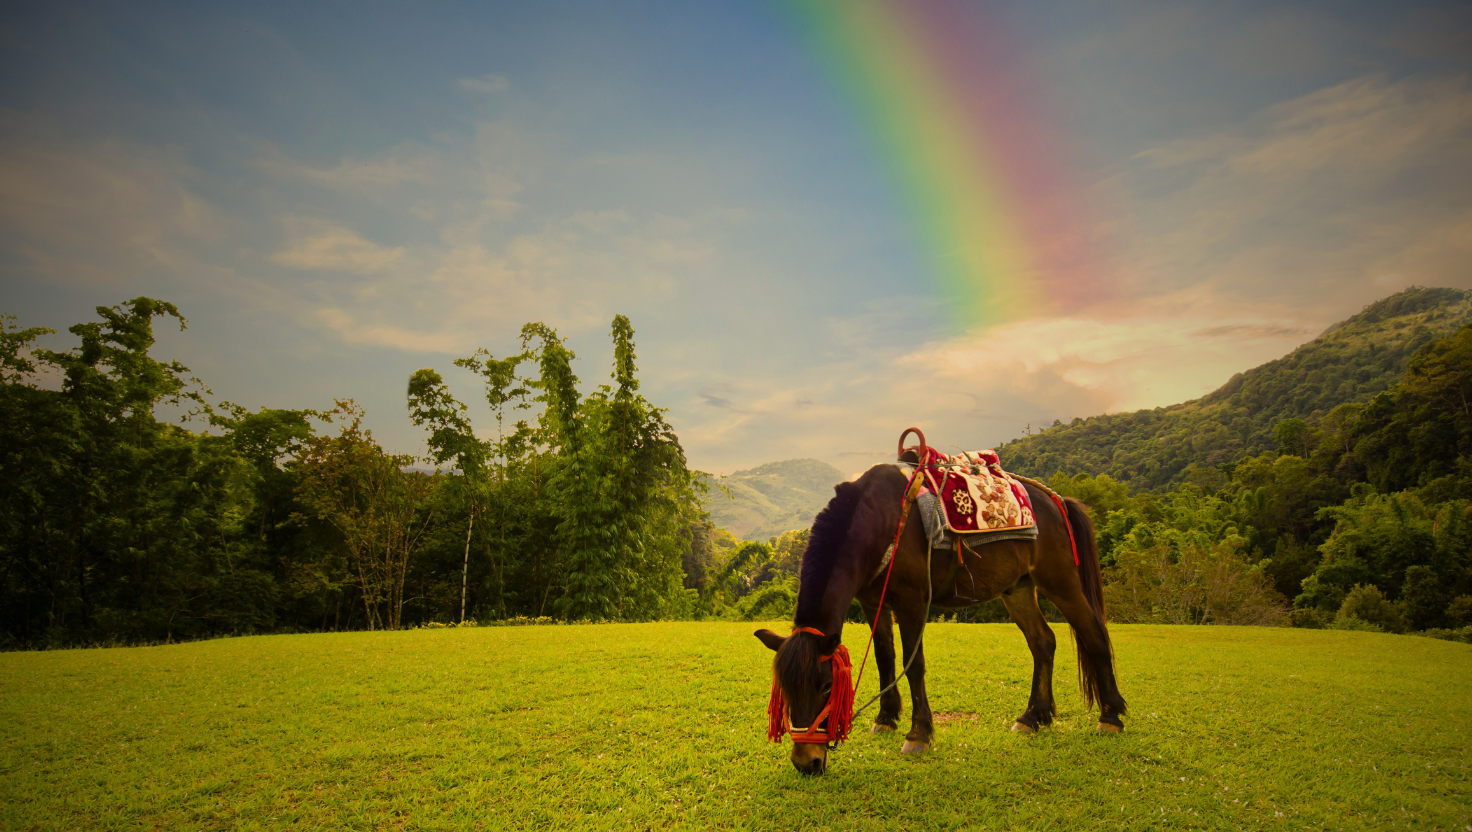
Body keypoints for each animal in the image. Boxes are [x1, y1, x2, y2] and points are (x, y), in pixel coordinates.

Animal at [754, 454, 1127, 775]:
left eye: (826, 686)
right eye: (785, 690)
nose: (806, 761)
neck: (880, 522)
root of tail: (1056, 500)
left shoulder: (912, 601)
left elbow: (913, 664)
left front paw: (918, 733)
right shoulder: (874, 603)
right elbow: (885, 658)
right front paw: (886, 718)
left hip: (1060, 580)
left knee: (1093, 633)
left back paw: (1111, 716)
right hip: (1018, 588)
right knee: (1043, 642)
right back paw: (1034, 716)